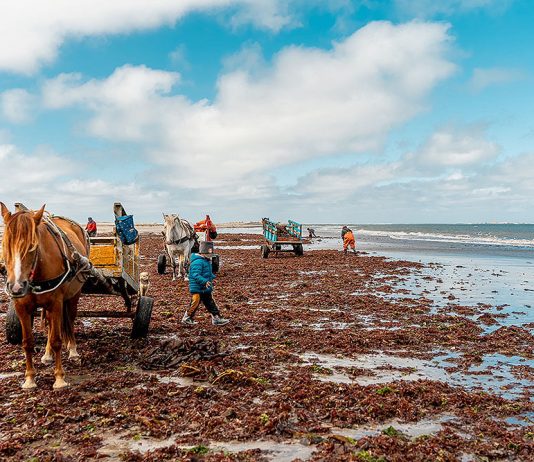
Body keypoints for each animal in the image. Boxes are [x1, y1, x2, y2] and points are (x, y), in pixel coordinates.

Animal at [0, 203, 90, 389]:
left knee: (70, 320)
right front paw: (29, 379)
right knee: (49, 323)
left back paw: (73, 350)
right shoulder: (21, 307)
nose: (17, 287)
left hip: (73, 295)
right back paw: (47, 354)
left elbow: (57, 339)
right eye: (5, 245)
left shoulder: (56, 302)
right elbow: (27, 342)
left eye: (32, 246)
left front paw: (59, 378)